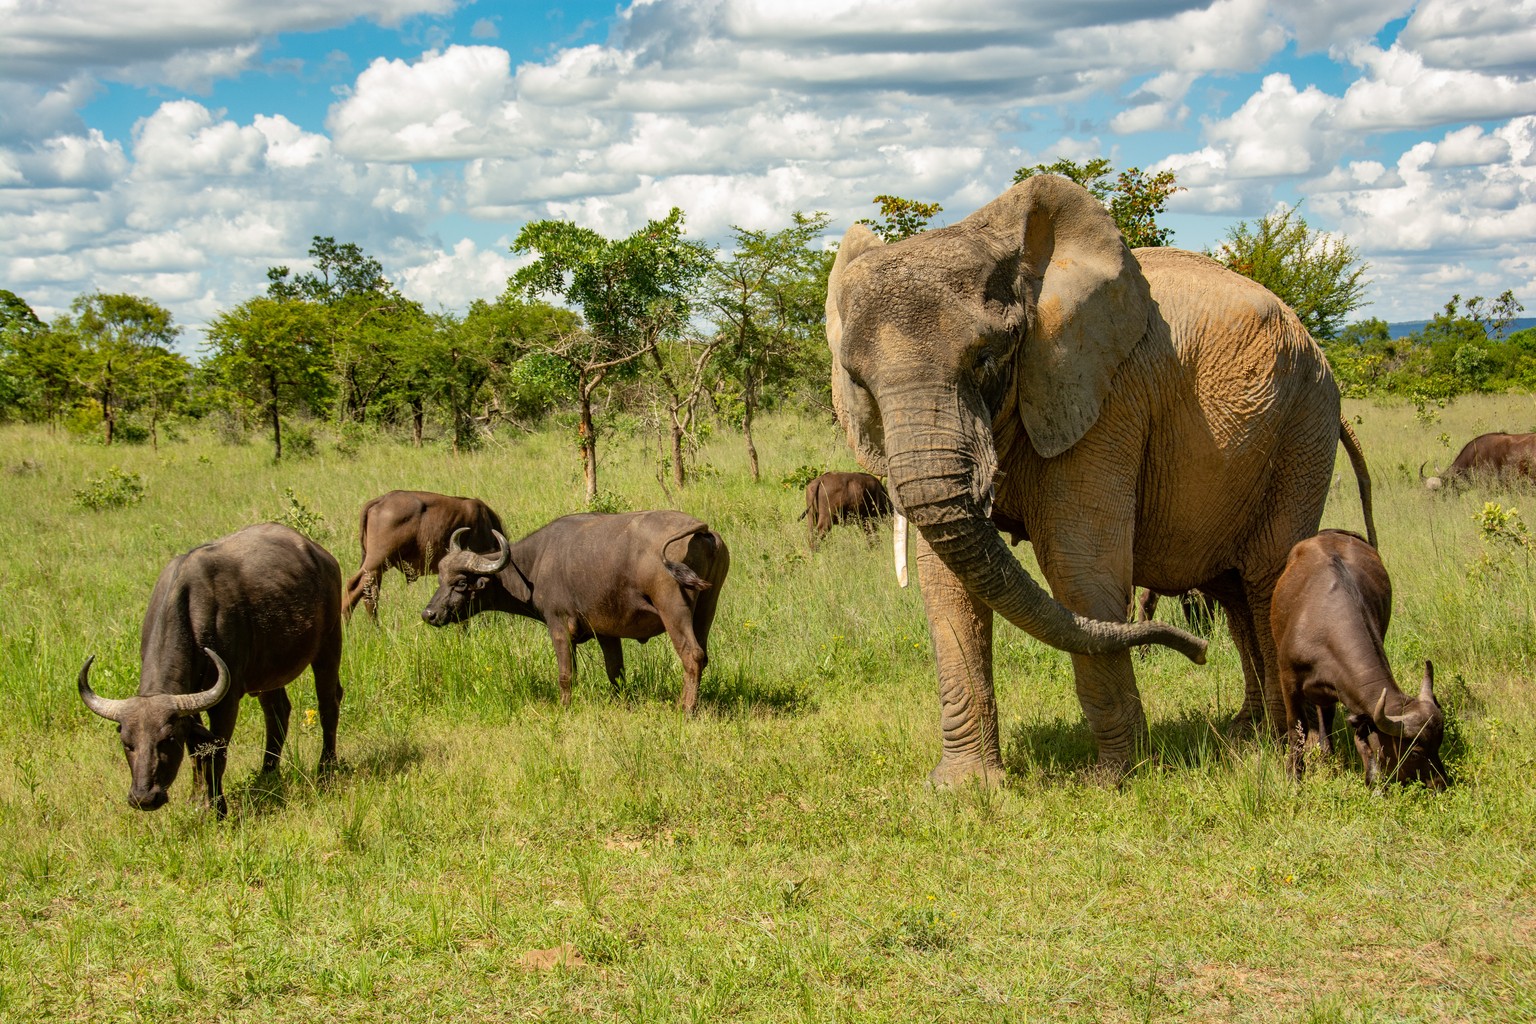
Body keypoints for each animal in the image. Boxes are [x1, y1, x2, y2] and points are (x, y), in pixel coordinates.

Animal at [78, 525, 345, 822]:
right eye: (127, 743)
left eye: (167, 739)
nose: (144, 797)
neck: (194, 618)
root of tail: (321, 555)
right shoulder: (189, 701)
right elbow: (196, 750)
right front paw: (196, 800)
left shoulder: (226, 700)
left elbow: (216, 752)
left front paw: (218, 808)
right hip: (269, 673)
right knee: (277, 711)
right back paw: (267, 772)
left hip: (329, 644)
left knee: (328, 704)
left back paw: (326, 768)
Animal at [420, 509, 731, 712]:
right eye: (440, 579)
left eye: (461, 583)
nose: (429, 614)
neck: (537, 561)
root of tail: (702, 530)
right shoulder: (607, 632)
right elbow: (615, 671)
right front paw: (619, 703)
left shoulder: (558, 626)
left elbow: (566, 674)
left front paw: (564, 707)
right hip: (707, 608)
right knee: (703, 656)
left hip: (673, 609)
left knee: (691, 655)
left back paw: (685, 708)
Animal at [835, 178, 1376, 786]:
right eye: (858, 381)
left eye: (986, 359)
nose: (1195, 650)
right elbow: (946, 583)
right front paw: (963, 788)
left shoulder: (1108, 396)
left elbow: (1080, 567)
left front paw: (1116, 779)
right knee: (1234, 591)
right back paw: (1249, 735)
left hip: (1303, 428)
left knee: (1266, 580)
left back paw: (1295, 755)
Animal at [1265, 534, 1443, 792]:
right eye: (1416, 752)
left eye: (1439, 743)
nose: (1442, 783)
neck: (1324, 627)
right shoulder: (1288, 678)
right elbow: (1297, 729)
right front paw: (1294, 777)